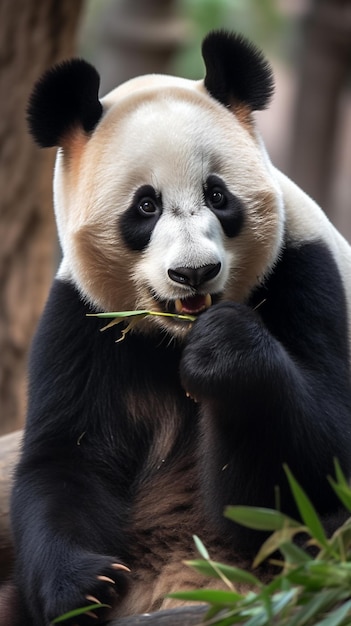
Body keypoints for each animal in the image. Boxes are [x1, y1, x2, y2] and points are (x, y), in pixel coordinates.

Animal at [6, 31, 351, 624]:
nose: (194, 273)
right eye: (146, 206)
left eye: (217, 195)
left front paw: (225, 352)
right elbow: (64, 461)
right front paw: (87, 585)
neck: (173, 340)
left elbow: (314, 466)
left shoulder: (306, 269)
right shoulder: (82, 323)